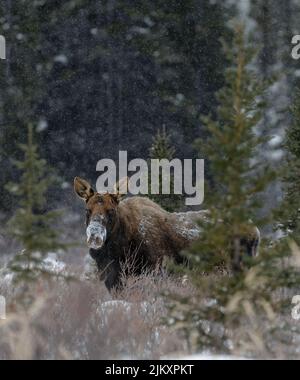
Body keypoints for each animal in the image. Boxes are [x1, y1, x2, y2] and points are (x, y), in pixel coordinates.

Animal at [74, 176, 258, 290]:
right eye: (87, 210)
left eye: (111, 210)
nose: (95, 237)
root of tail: (255, 229)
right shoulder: (112, 277)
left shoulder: (156, 270)